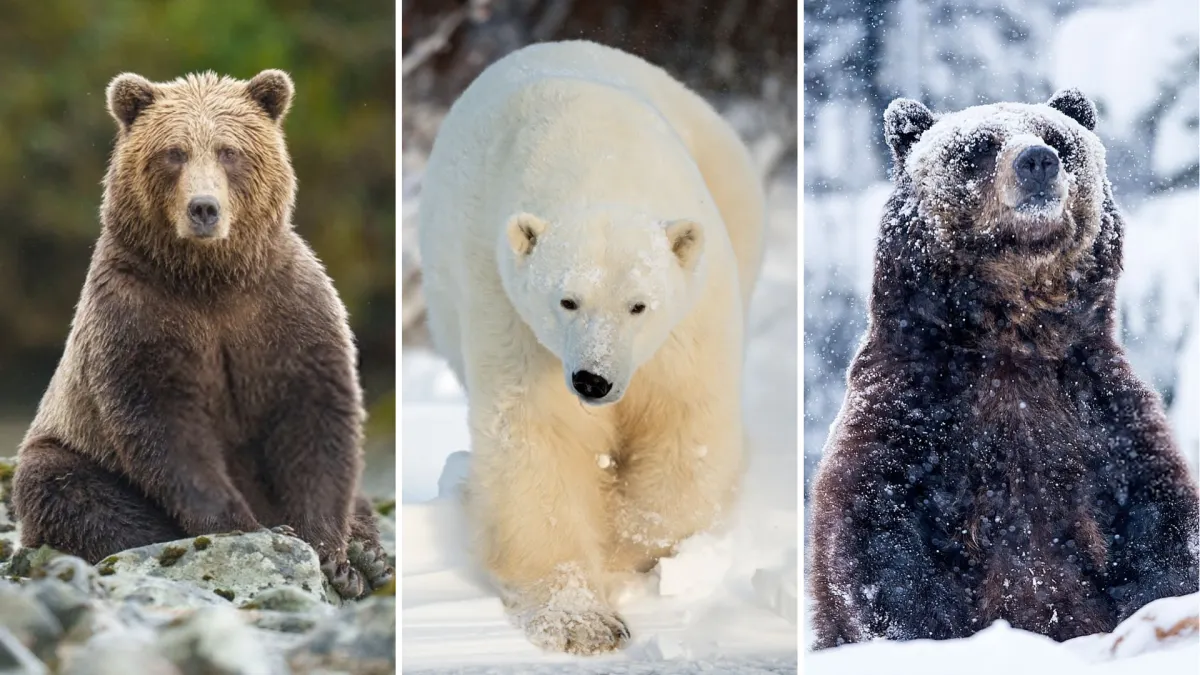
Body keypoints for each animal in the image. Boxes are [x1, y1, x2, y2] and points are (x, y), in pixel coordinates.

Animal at [10, 70, 393, 600]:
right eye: (174, 152)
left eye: (229, 151)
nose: (204, 208)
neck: (211, 281)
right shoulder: (137, 314)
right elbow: (165, 425)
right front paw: (251, 527)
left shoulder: (286, 309)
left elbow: (317, 418)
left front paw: (337, 557)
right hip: (70, 442)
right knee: (65, 490)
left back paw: (371, 554)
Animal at [417, 40, 765, 655]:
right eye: (567, 301)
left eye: (639, 305)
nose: (593, 381)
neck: (598, 159)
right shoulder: (512, 313)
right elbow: (537, 440)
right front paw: (583, 623)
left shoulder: (689, 323)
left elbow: (686, 428)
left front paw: (621, 544)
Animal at [808, 88, 1200, 648]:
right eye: (979, 146)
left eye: (1058, 137)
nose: (1037, 160)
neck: (1013, 339)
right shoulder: (913, 409)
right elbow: (878, 532)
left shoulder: (1102, 415)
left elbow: (1159, 525)